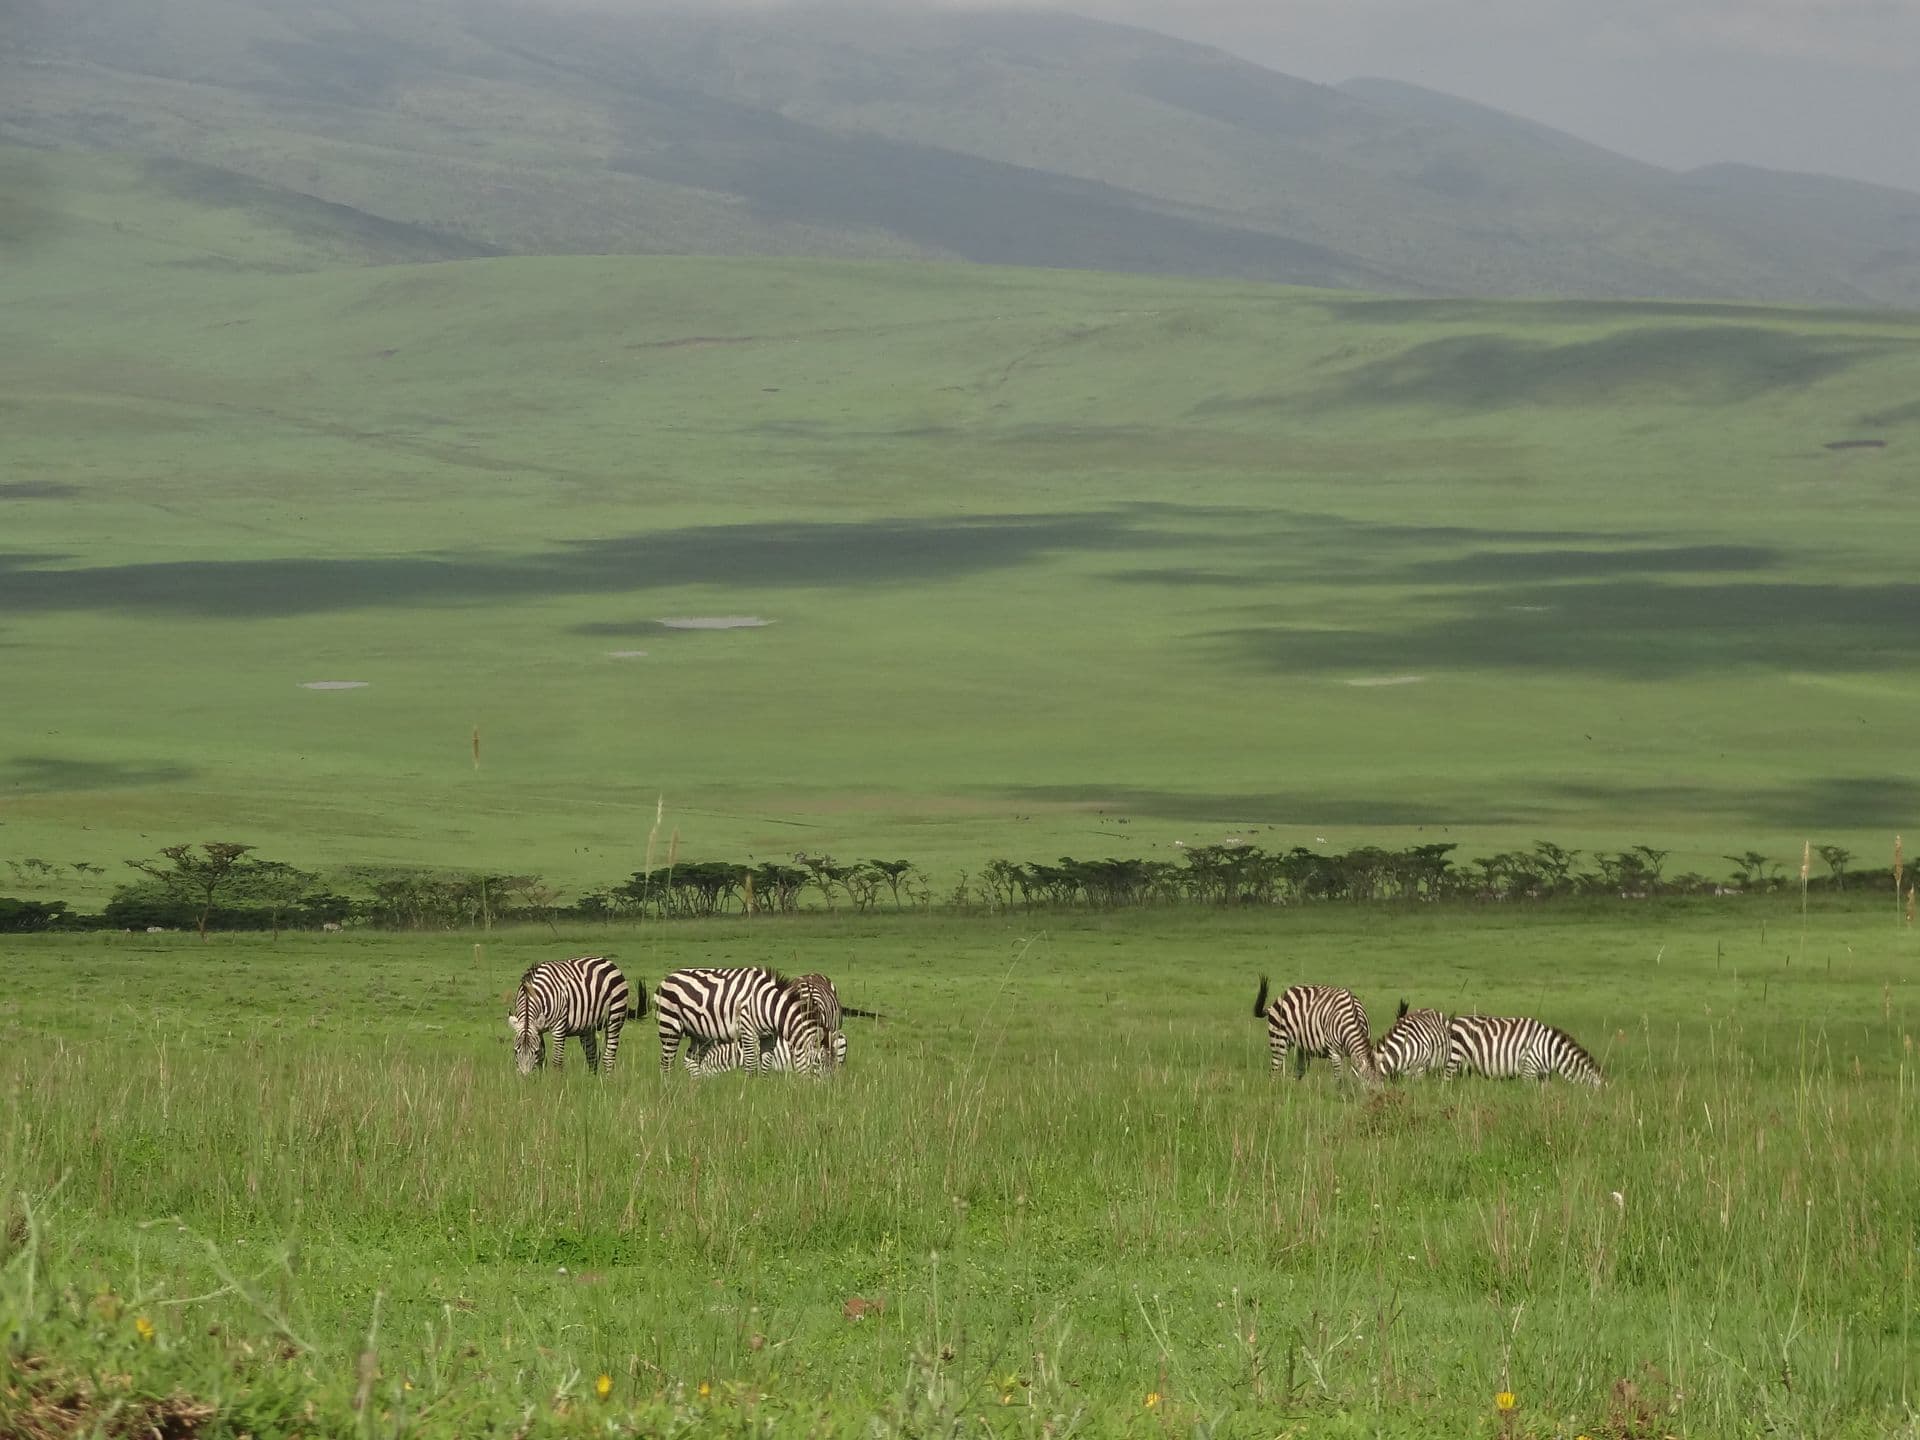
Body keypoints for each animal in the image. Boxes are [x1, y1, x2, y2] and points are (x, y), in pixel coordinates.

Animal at [507, 956, 644, 1076]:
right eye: (515, 1051)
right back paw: (592, 1082)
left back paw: (607, 1083)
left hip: (615, 1016)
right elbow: (541, 1060)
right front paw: (539, 1082)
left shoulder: (559, 1027)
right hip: (588, 1027)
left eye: (534, 1052)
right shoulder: (538, 1030)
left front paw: (554, 1085)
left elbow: (557, 1062)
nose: (525, 1079)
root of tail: (609, 963)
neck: (532, 993)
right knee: (592, 1056)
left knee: (608, 1056)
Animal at [654, 967, 829, 1076]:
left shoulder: (769, 1036)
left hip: (700, 1034)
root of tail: (667, 978)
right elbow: (751, 1064)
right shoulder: (748, 1030)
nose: (821, 1092)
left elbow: (765, 1064)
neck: (768, 1005)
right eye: (818, 1062)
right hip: (669, 1027)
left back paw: (696, 1093)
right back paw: (668, 1093)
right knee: (665, 1065)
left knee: (691, 1061)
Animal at [1443, 1014, 1603, 1086]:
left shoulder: (1544, 1075)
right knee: (1446, 1083)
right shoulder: (1529, 1069)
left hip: (1464, 1065)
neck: (1550, 1051)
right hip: (1454, 1060)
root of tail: (1454, 1020)